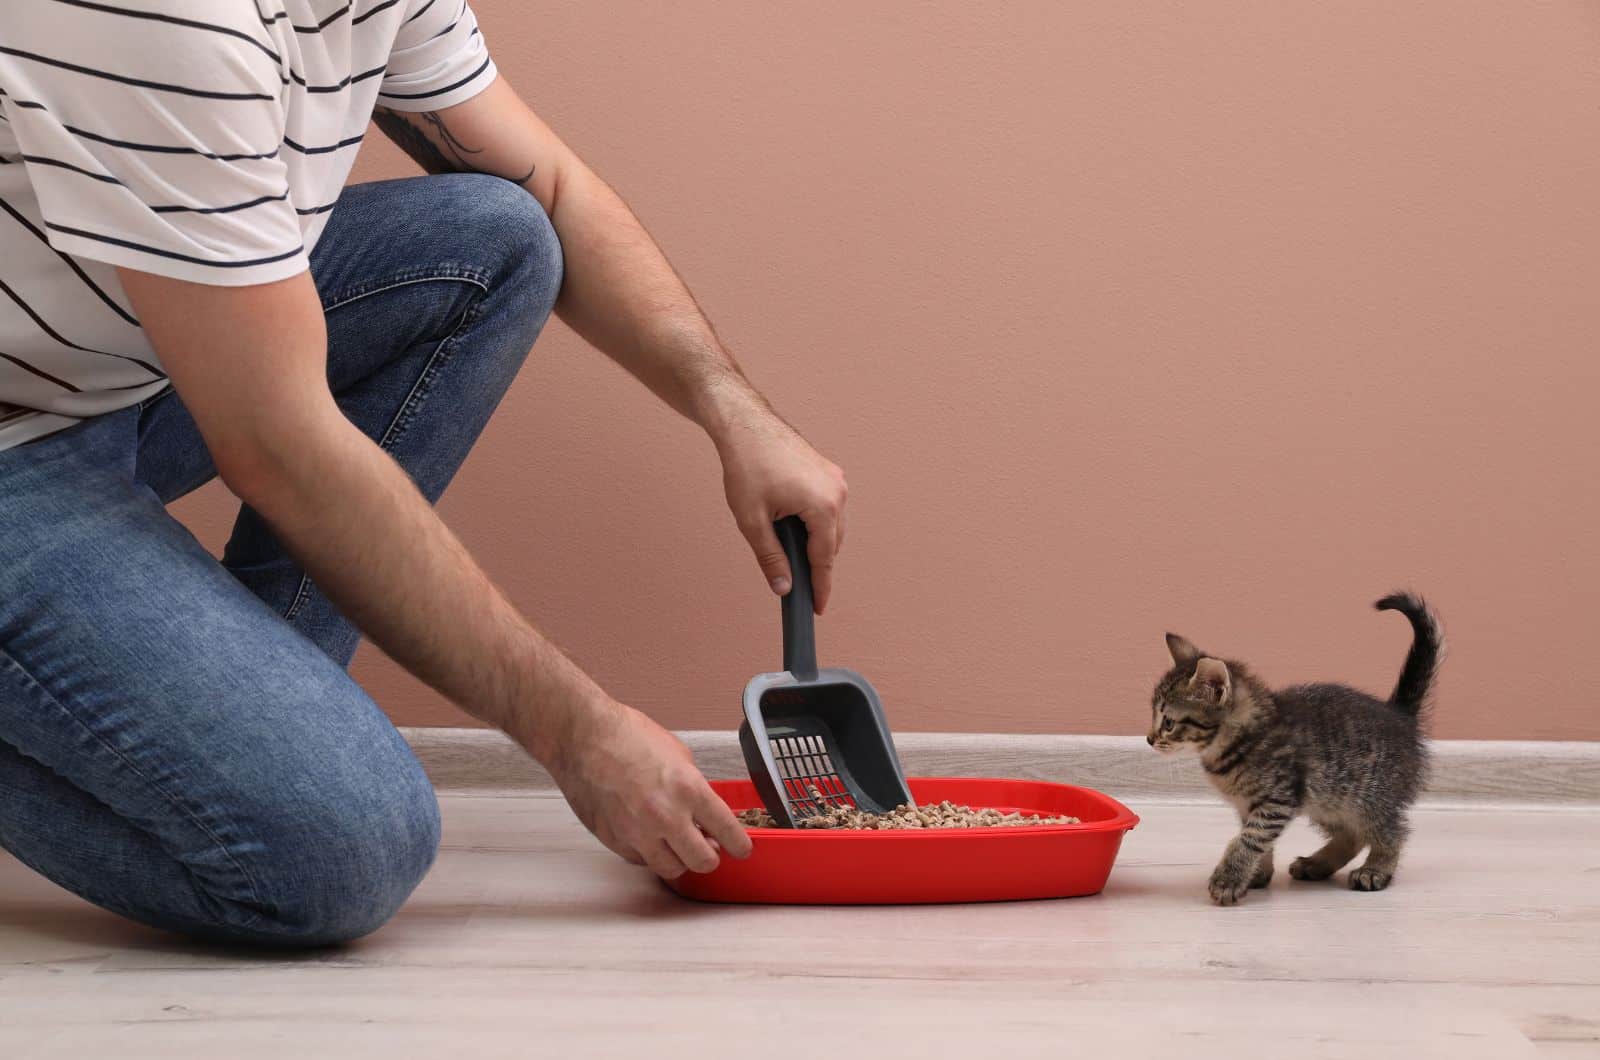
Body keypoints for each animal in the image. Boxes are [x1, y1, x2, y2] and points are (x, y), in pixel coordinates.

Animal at [1152, 592, 1440, 909]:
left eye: (1168, 722)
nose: (1149, 739)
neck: (1233, 745)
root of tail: (1400, 714)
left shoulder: (1277, 799)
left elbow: (1249, 839)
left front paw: (1229, 879)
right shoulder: (1250, 804)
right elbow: (1258, 841)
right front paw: (1256, 875)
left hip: (1369, 797)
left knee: (1391, 831)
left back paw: (1375, 869)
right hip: (1329, 801)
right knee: (1352, 836)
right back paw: (1317, 864)